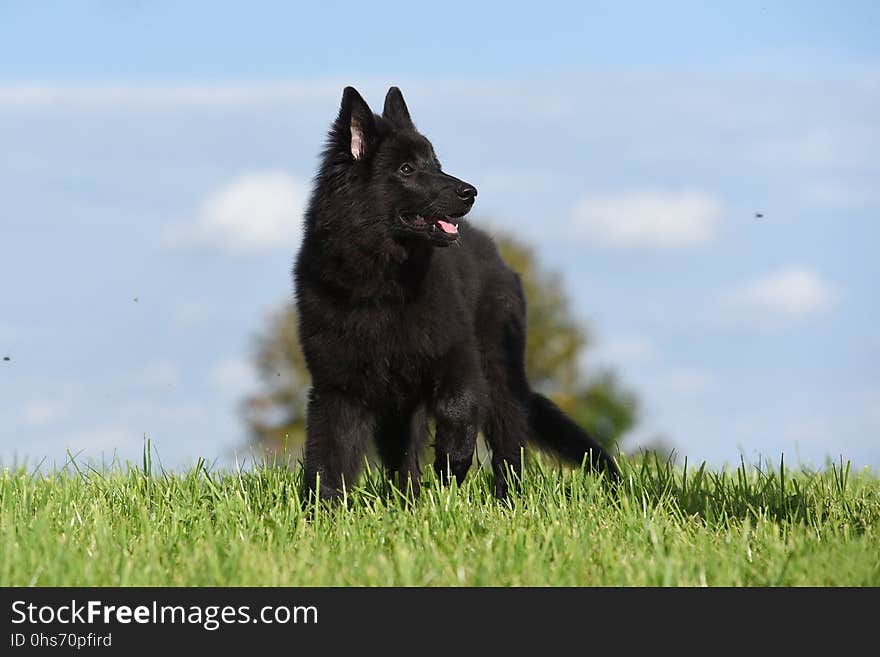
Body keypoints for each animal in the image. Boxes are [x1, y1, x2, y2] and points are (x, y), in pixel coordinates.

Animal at [296, 86, 620, 498]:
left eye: (436, 163)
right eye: (407, 169)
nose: (471, 192)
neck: (382, 282)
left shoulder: (455, 353)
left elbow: (459, 407)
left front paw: (452, 465)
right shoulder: (339, 385)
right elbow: (329, 455)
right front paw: (322, 508)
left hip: (498, 371)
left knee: (508, 444)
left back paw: (505, 498)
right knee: (402, 458)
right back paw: (409, 500)